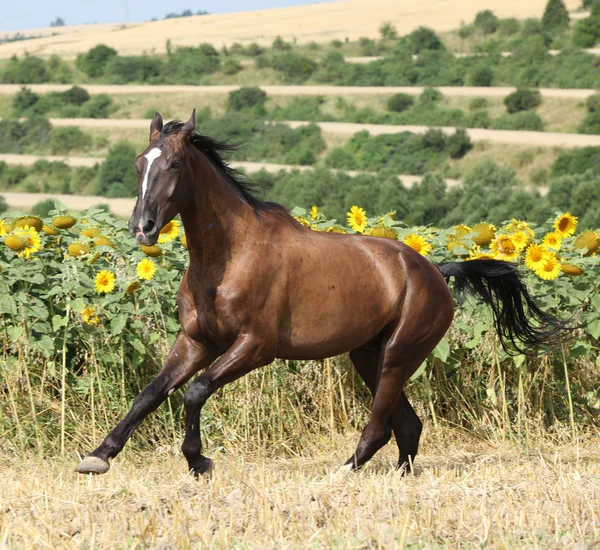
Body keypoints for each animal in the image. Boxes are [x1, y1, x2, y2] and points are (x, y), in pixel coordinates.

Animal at [76, 111, 568, 478]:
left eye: (175, 165)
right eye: (139, 163)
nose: (142, 227)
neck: (228, 257)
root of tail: (434, 271)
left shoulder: (255, 347)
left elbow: (194, 392)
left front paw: (200, 462)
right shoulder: (197, 341)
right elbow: (150, 393)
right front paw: (98, 456)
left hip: (399, 354)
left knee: (381, 425)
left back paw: (344, 470)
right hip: (368, 355)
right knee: (408, 426)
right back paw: (396, 475)